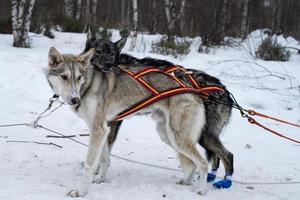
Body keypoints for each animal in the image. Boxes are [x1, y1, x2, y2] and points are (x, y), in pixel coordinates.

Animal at [47, 46, 216, 196]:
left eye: (79, 77)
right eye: (64, 77)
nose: (75, 100)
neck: (88, 84)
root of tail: (194, 91)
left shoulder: (98, 130)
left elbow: (89, 165)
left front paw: (81, 192)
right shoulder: (104, 130)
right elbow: (105, 158)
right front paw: (100, 179)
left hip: (178, 138)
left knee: (202, 163)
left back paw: (201, 190)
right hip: (167, 135)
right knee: (192, 163)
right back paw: (186, 182)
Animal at [84, 32, 234, 188]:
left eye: (112, 53)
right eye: (99, 51)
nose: (108, 64)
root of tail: (223, 90)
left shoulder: (112, 124)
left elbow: (103, 152)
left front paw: (96, 172)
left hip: (202, 136)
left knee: (227, 155)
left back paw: (225, 181)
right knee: (216, 156)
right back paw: (211, 177)